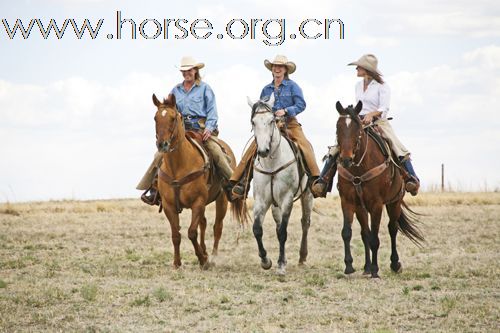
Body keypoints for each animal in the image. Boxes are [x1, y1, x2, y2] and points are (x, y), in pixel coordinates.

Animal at [152, 92, 246, 268]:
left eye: (173, 118)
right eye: (155, 118)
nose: (162, 144)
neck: (178, 166)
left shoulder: (198, 202)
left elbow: (191, 232)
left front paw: (203, 260)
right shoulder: (169, 206)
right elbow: (176, 234)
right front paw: (177, 263)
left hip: (222, 200)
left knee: (217, 227)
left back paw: (213, 257)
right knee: (204, 223)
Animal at [334, 101, 424, 278]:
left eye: (358, 128)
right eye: (337, 127)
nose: (346, 159)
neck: (359, 168)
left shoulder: (377, 205)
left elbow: (375, 239)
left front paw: (376, 270)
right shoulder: (347, 202)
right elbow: (347, 233)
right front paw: (349, 266)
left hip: (394, 202)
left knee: (392, 229)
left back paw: (394, 264)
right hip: (361, 208)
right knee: (365, 233)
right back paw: (367, 267)